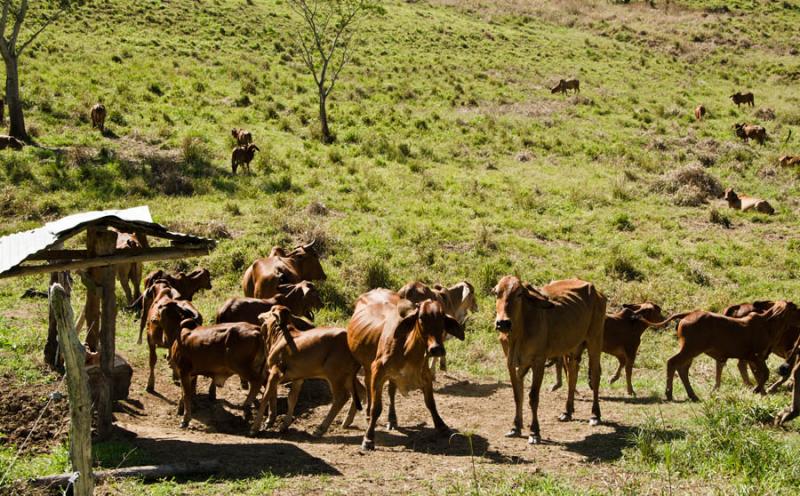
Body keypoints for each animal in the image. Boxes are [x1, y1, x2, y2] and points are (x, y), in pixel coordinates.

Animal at [252, 306, 364, 438]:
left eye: (271, 310)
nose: (260, 314)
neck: (281, 336)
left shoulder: (276, 372)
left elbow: (266, 397)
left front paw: (255, 428)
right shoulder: (298, 377)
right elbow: (291, 398)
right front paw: (284, 425)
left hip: (334, 374)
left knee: (341, 397)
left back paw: (320, 429)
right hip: (348, 376)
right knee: (361, 391)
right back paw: (346, 422)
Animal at [346, 288, 466, 452]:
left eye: (442, 319)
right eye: (421, 318)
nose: (436, 349)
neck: (408, 351)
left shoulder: (425, 375)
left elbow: (431, 403)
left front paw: (442, 426)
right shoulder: (378, 371)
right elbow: (377, 408)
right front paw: (368, 439)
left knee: (391, 392)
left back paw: (392, 419)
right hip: (367, 366)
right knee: (369, 387)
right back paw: (369, 415)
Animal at [494, 276, 608, 446]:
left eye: (519, 294)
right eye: (496, 293)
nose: (503, 323)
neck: (518, 334)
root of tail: (598, 292)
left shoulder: (538, 362)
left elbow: (533, 397)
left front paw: (534, 432)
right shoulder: (511, 364)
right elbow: (517, 396)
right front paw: (515, 427)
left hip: (595, 339)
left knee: (595, 375)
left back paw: (595, 415)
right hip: (572, 347)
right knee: (572, 375)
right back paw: (567, 412)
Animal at [664, 302, 800, 404]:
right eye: (794, 308)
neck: (768, 325)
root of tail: (689, 314)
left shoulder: (755, 358)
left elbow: (759, 375)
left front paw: (763, 393)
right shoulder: (754, 356)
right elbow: (765, 374)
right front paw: (757, 390)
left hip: (690, 351)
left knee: (682, 369)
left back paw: (692, 395)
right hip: (690, 349)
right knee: (672, 362)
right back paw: (669, 393)